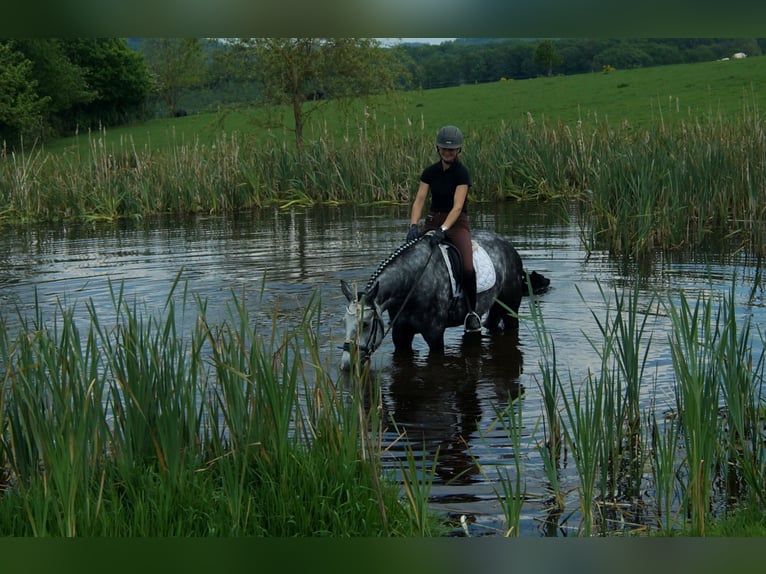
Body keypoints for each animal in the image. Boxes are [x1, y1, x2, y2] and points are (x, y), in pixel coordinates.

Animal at [340, 231, 548, 374]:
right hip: (494, 308)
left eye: (366, 324)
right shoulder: (401, 334)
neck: (413, 282)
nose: (347, 364)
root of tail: (508, 246)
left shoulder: (434, 334)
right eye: (345, 323)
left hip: (511, 309)